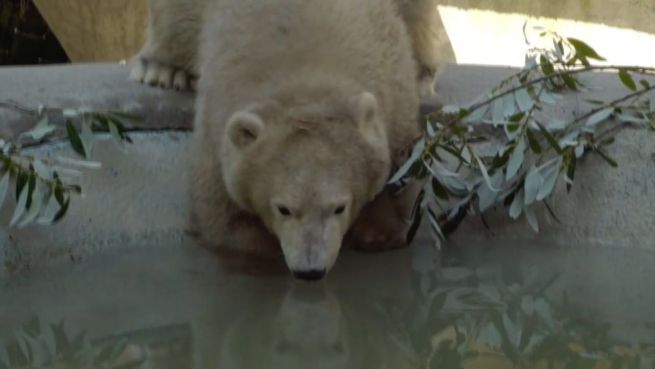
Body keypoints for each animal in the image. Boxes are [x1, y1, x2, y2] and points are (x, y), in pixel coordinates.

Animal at [131, 0, 440, 278]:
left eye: (339, 207)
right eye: (284, 209)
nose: (310, 270)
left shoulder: (392, 88)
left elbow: (400, 168)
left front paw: (377, 232)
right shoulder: (218, 125)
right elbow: (221, 213)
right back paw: (163, 70)